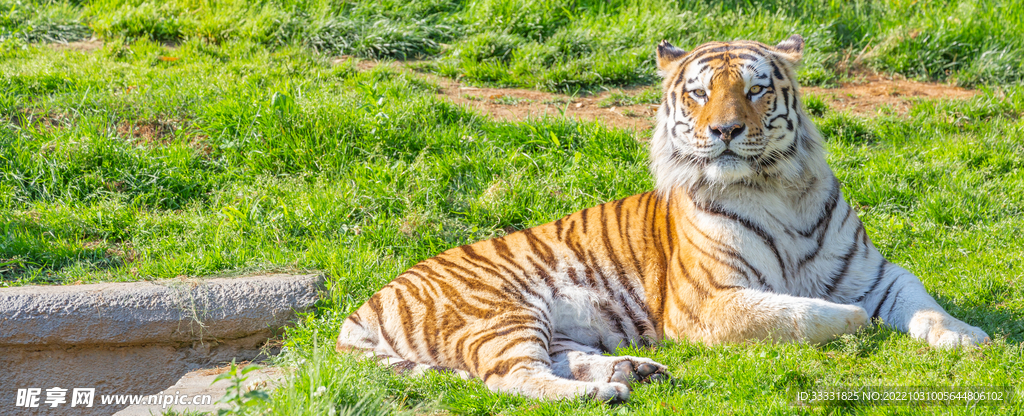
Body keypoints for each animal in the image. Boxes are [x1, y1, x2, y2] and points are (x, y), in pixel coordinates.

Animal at [336, 35, 990, 403]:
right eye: (699, 93)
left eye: (756, 90)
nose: (725, 131)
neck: (776, 188)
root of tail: (364, 305)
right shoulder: (709, 300)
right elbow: (801, 313)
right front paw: (854, 322)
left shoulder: (875, 273)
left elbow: (924, 303)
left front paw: (970, 338)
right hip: (498, 312)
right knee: (511, 378)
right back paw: (604, 392)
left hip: (549, 324)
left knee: (556, 357)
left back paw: (636, 370)